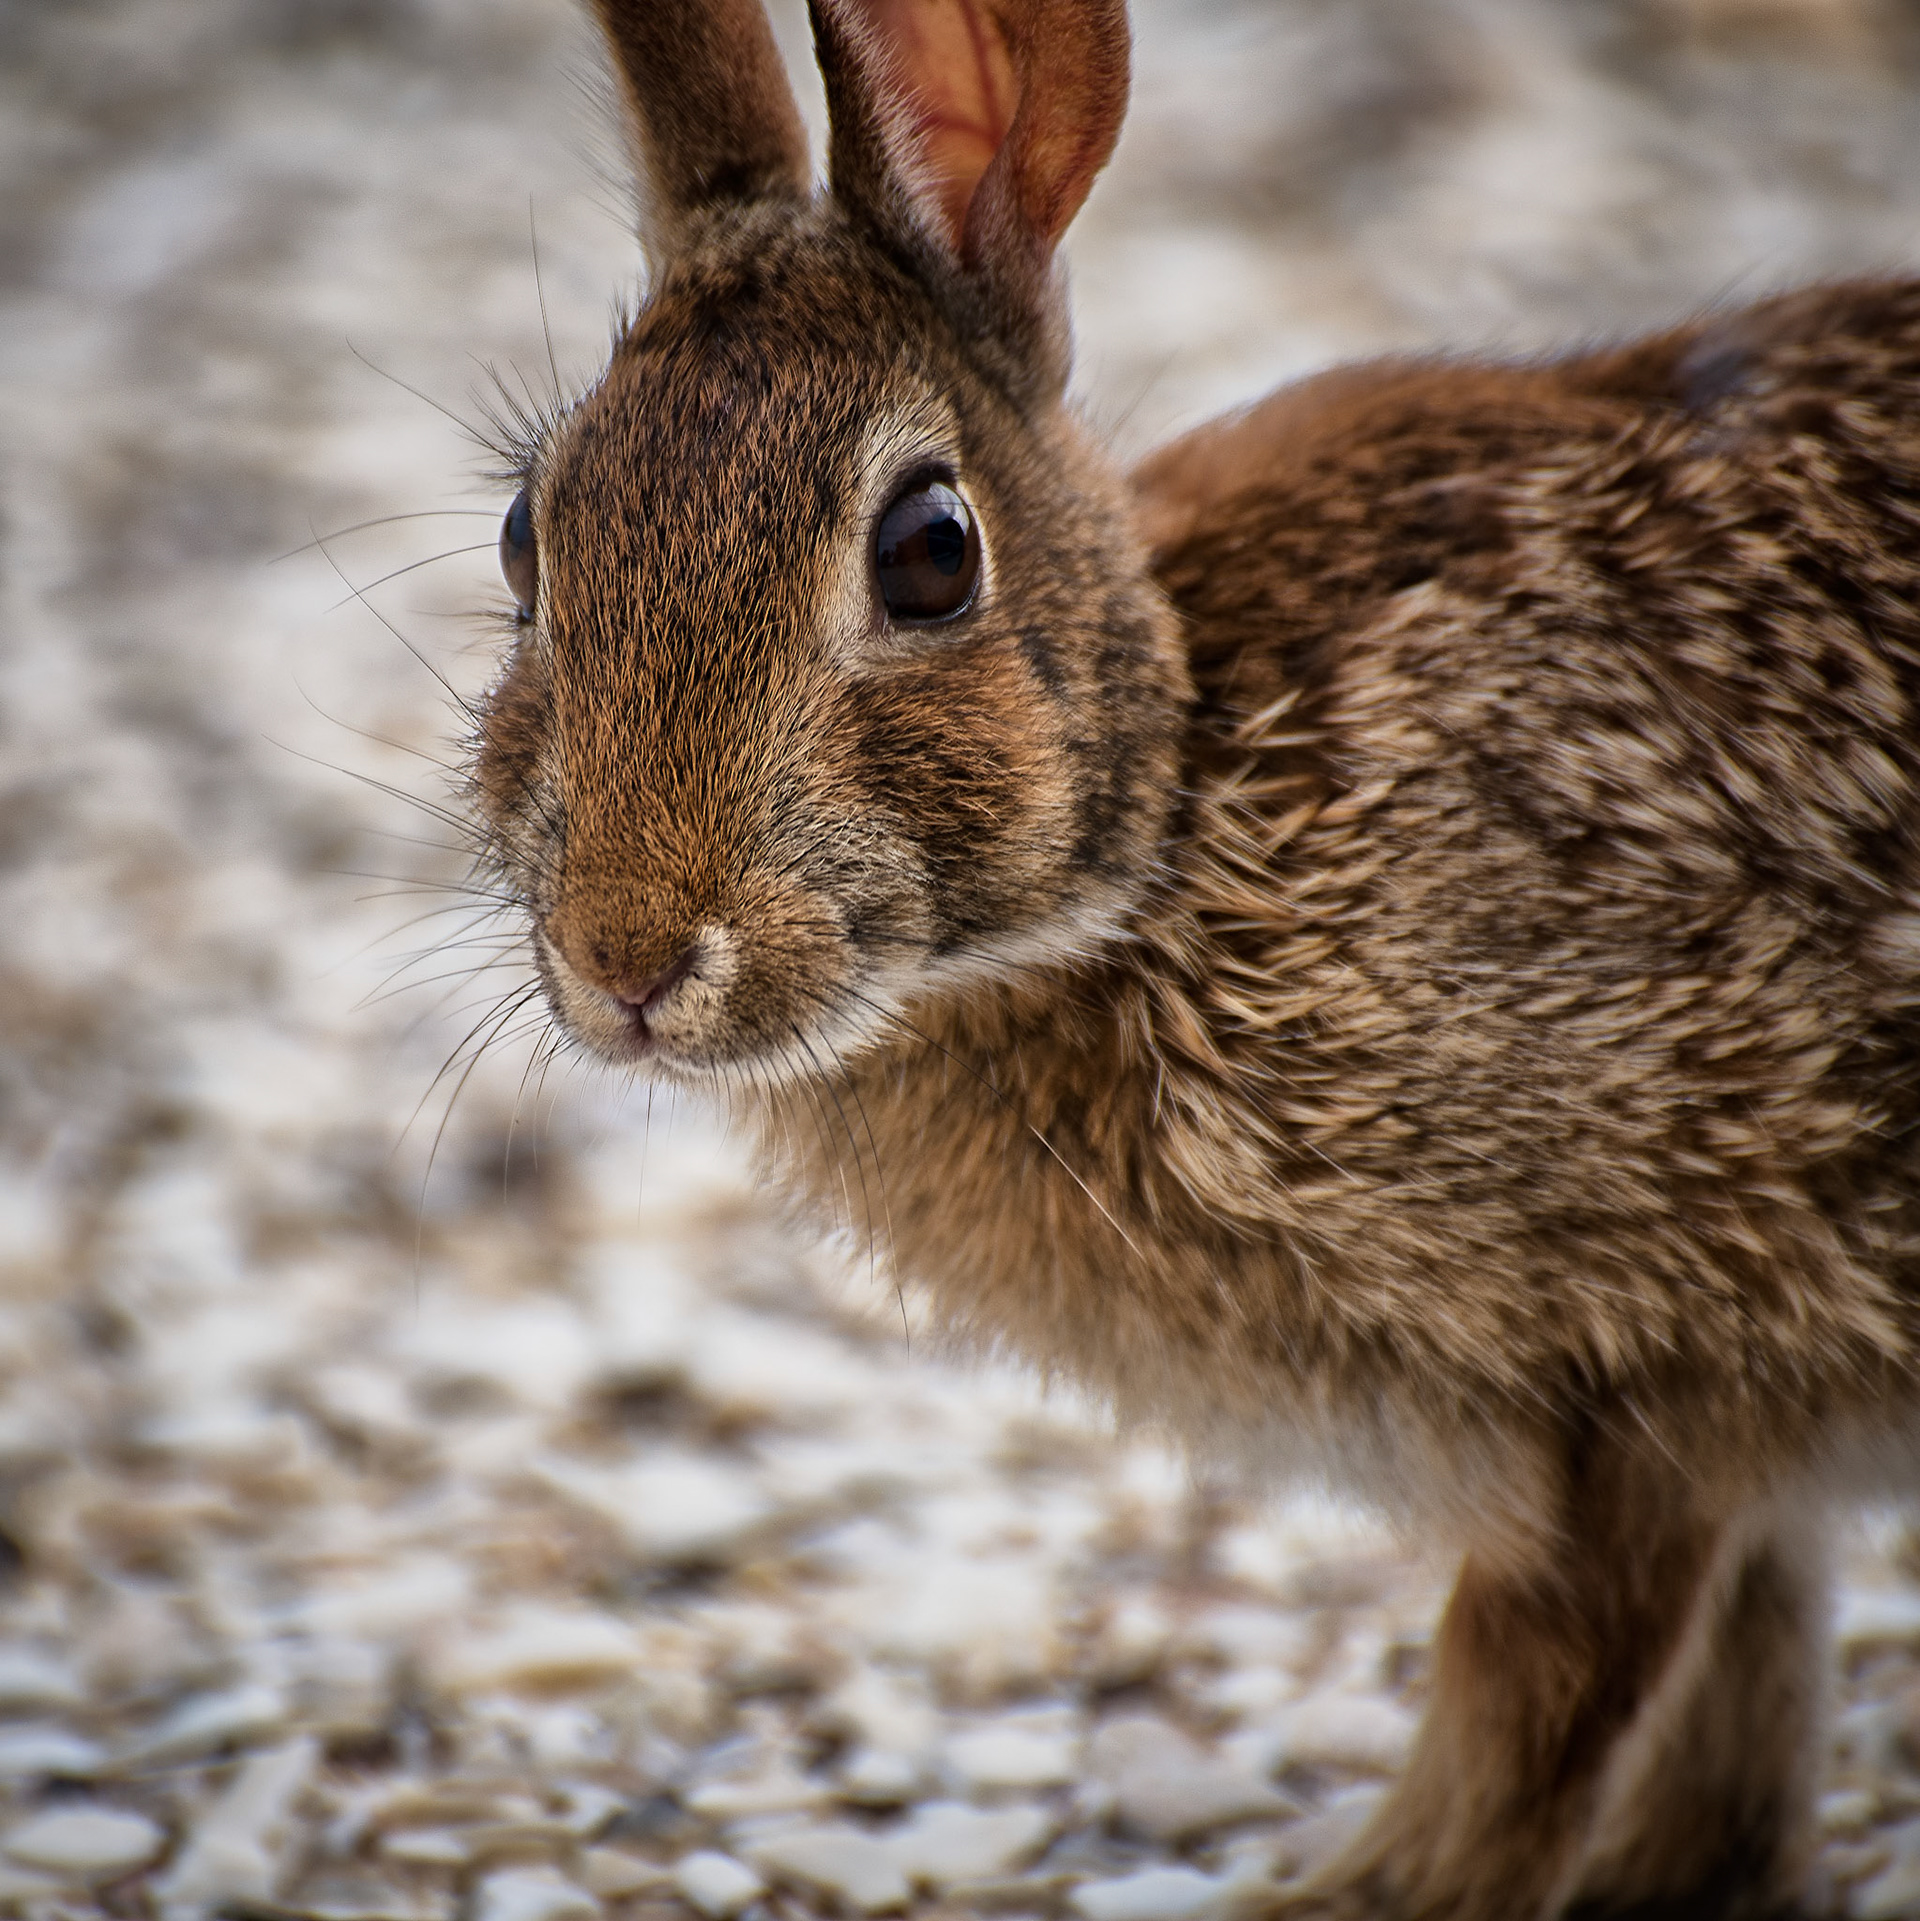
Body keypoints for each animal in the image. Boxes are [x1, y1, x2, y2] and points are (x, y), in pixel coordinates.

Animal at [462, 0, 1920, 1914]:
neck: (1170, 820)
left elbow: (1534, 1696)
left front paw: (1370, 1893)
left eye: (929, 552)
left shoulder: (1652, 1354)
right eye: (525, 542)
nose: (628, 958)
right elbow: (1730, 1695)